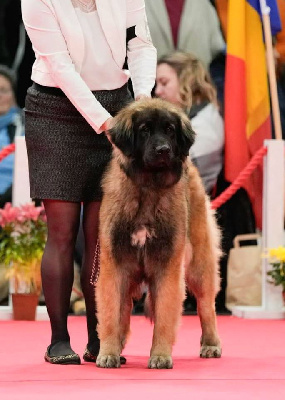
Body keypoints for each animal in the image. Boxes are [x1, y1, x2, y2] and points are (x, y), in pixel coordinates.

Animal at [95, 97, 222, 368]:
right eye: (144, 130)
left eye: (170, 130)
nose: (163, 150)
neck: (148, 186)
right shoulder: (115, 266)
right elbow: (111, 312)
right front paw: (108, 351)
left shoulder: (167, 266)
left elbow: (165, 314)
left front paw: (161, 355)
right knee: (124, 311)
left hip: (199, 264)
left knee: (207, 306)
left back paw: (211, 343)